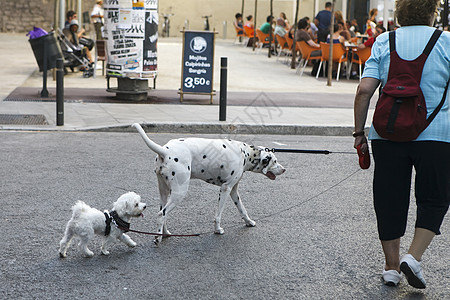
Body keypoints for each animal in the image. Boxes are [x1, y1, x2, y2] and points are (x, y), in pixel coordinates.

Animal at [132, 123, 284, 245]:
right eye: (275, 161)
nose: (284, 169)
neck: (245, 153)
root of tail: (165, 150)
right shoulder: (225, 189)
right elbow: (218, 214)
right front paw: (217, 230)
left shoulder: (234, 190)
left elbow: (242, 209)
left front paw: (248, 222)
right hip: (179, 193)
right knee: (161, 214)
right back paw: (158, 238)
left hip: (164, 192)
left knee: (163, 213)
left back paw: (164, 233)